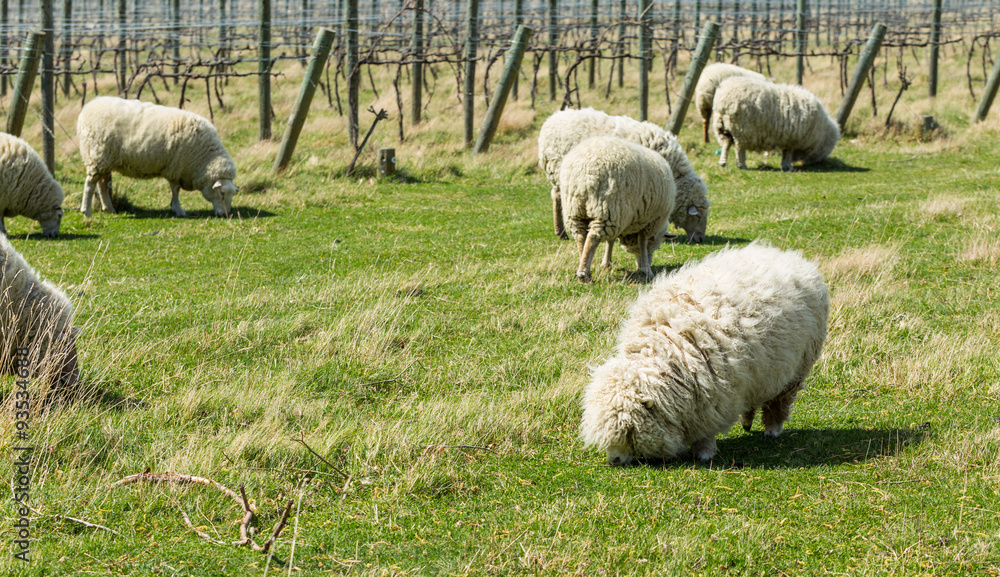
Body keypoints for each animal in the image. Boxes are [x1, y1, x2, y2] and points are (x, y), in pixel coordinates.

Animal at [77, 96, 238, 218]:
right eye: (222, 193)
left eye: (232, 195)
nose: (225, 215)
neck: (205, 158)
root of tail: (87, 108)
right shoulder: (176, 167)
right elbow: (175, 189)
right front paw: (178, 209)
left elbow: (175, 190)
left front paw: (175, 207)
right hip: (96, 156)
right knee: (90, 184)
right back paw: (86, 212)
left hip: (105, 159)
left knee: (102, 183)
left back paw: (109, 209)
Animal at [538, 108, 710, 244]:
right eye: (698, 217)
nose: (700, 239)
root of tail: (552, 119)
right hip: (558, 170)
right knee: (557, 198)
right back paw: (561, 232)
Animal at [559, 135, 676, 282]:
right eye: (657, 245)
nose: (640, 265)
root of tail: (584, 175)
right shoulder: (649, 221)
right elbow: (642, 242)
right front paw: (647, 270)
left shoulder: (624, 218)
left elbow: (611, 240)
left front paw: (606, 263)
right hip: (607, 209)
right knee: (592, 238)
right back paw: (584, 274)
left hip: (575, 211)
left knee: (581, 236)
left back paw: (584, 265)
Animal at [580, 241, 829, 464]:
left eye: (630, 431)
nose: (614, 460)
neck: (667, 349)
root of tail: (793, 257)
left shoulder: (713, 394)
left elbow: (706, 429)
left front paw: (703, 452)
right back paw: (747, 421)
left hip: (798, 369)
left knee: (780, 402)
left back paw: (772, 429)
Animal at [712, 76, 840, 171]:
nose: (822, 162)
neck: (820, 131)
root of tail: (722, 99)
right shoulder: (793, 139)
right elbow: (788, 153)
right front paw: (788, 167)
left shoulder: (788, 138)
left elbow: (785, 152)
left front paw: (786, 166)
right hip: (741, 128)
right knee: (739, 147)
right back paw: (742, 165)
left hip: (723, 126)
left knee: (726, 143)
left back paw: (723, 162)